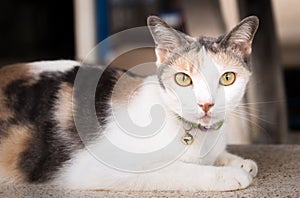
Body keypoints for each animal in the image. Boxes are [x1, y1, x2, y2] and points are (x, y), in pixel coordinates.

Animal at [0, 15, 258, 192]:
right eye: (183, 79)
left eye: (227, 78)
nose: (206, 104)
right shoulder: (94, 167)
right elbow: (178, 169)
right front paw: (227, 173)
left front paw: (239, 162)